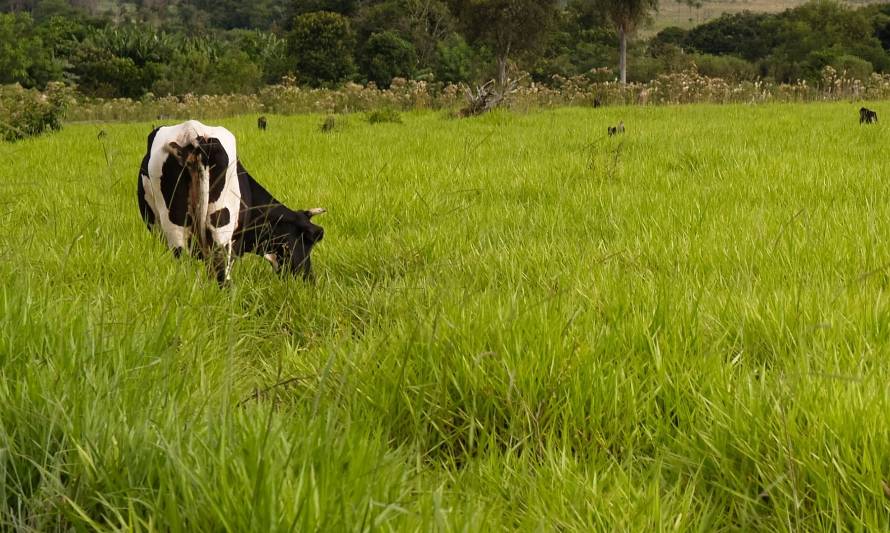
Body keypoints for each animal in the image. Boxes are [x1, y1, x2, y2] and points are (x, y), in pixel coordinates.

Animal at [135, 119, 322, 284]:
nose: (309, 279)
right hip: (218, 230)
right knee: (222, 278)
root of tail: (194, 134)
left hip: (180, 230)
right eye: (307, 243)